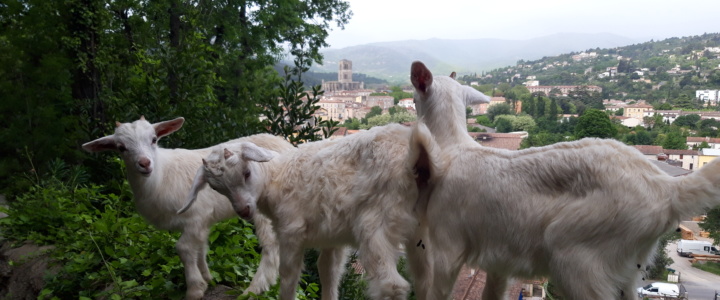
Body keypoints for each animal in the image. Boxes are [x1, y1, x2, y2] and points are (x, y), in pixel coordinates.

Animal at [81, 116, 290, 300]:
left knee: (271, 245)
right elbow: (200, 248)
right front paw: (207, 278)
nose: (144, 163)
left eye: (154, 139)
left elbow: (184, 248)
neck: (160, 177)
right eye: (121, 147)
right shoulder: (201, 223)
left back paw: (253, 289)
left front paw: (195, 288)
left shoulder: (195, 217)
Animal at [180, 123, 438, 298]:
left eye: (246, 173)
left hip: (377, 225)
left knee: (393, 286)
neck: (276, 176)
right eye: (217, 188)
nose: (244, 210)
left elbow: (288, 275)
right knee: (426, 280)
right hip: (421, 231)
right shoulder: (332, 239)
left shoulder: (291, 230)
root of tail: (417, 159)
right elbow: (328, 272)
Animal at [408, 61, 720, 300]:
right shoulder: (498, 263)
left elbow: (436, 294)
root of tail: (666, 187)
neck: (452, 149)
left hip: (576, 255)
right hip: (629, 270)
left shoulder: (448, 246)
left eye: (412, 99)